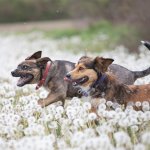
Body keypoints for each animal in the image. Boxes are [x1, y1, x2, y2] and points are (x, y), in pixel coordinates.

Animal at [11, 42, 150, 106]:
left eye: (25, 67)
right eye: (18, 65)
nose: (12, 72)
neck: (47, 71)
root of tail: (133, 73)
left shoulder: (58, 93)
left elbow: (41, 102)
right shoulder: (61, 98)